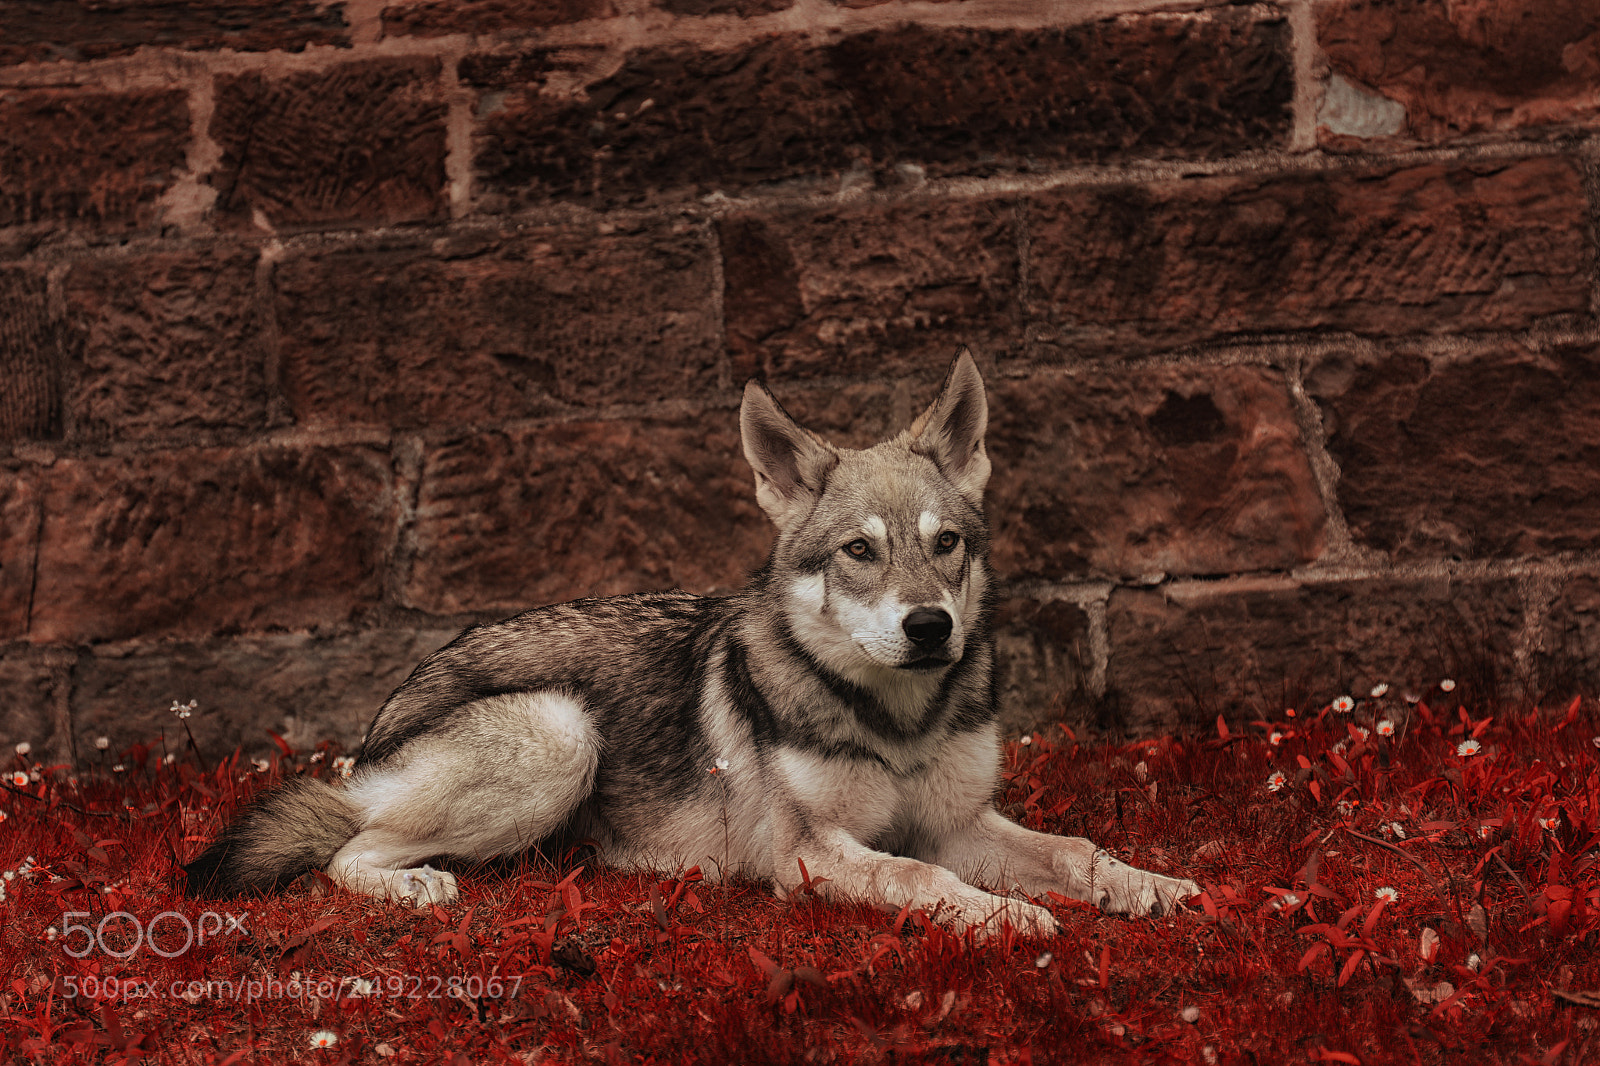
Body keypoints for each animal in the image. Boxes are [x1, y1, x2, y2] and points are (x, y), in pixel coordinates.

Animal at [183, 351, 1198, 935]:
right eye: (860, 551)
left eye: (945, 543)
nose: (929, 627)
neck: (895, 719)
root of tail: (379, 728)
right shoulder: (814, 854)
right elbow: (916, 874)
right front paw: (1002, 916)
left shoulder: (959, 821)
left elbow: (1076, 852)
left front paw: (1149, 886)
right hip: (561, 734)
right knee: (345, 853)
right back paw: (415, 889)